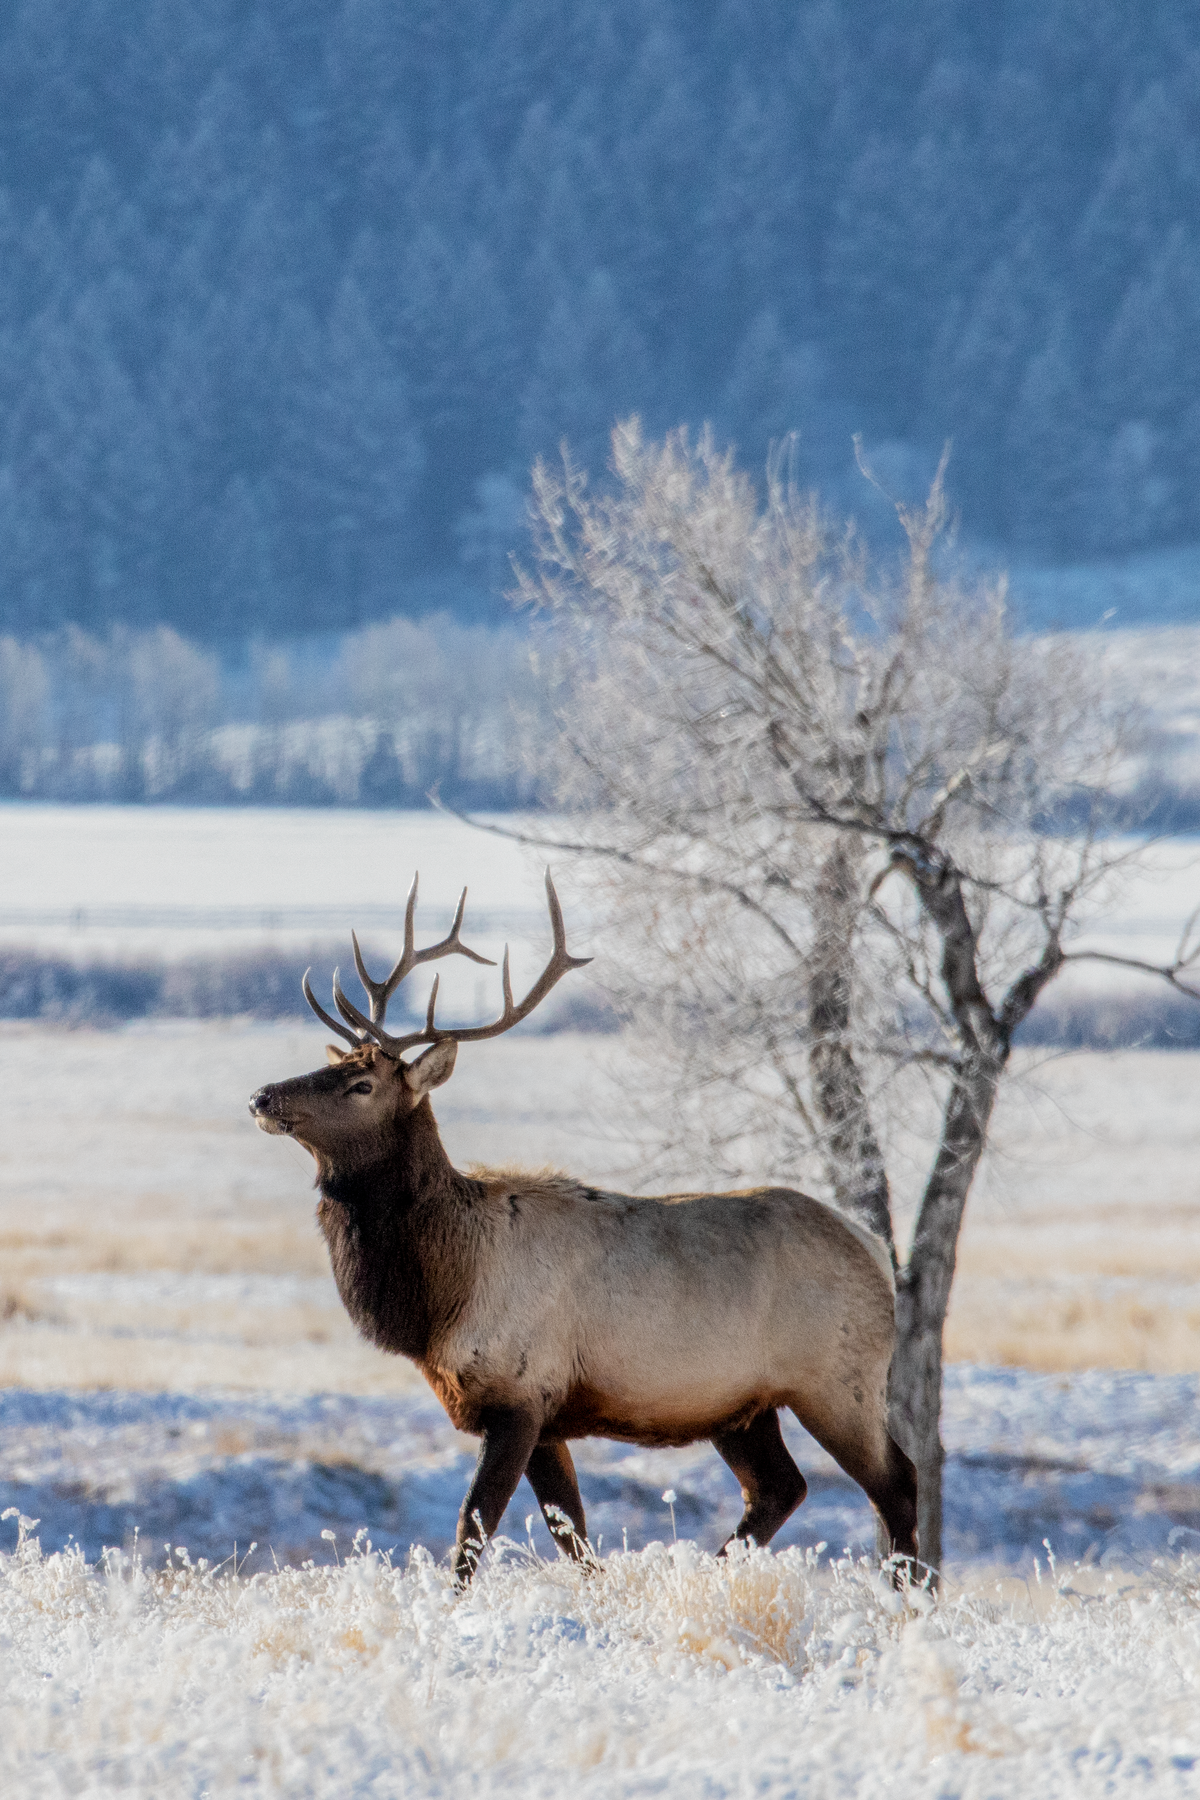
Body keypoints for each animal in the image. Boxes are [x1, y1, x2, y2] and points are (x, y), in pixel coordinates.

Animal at [249, 870, 918, 1583]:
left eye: (362, 1084)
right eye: (334, 1064)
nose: (262, 1096)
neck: (439, 1296)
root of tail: (876, 1249)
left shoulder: (519, 1394)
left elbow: (474, 1529)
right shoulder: (544, 1417)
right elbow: (572, 1537)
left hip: (839, 1380)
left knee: (896, 1484)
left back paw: (908, 1599)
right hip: (743, 1405)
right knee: (779, 1488)